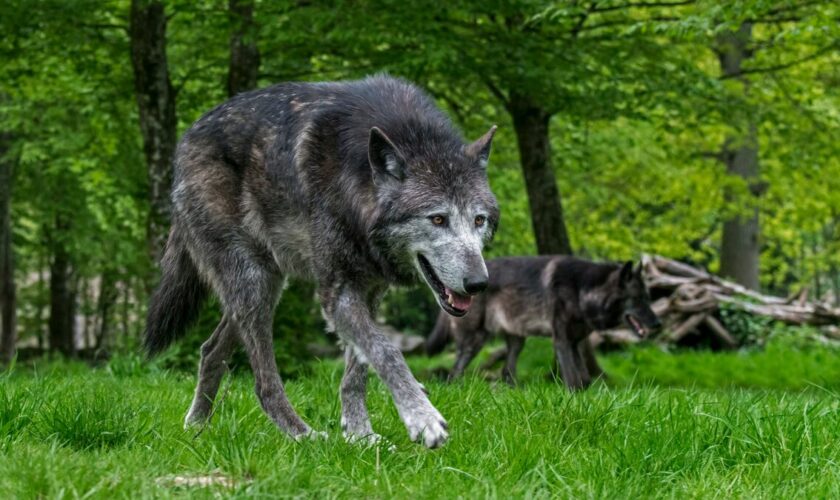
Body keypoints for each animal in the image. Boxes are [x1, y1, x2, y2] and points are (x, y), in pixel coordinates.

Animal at [144, 75, 498, 450]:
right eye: (438, 219)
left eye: (479, 220)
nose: (479, 283)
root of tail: (185, 141)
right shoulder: (337, 294)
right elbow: (386, 349)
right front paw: (422, 418)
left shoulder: (370, 291)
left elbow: (358, 371)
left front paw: (360, 435)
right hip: (254, 283)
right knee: (263, 381)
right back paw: (302, 434)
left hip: (264, 286)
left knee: (210, 350)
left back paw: (196, 427)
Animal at [430, 256, 660, 388]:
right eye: (637, 299)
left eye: (648, 298)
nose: (658, 324)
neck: (581, 291)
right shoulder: (561, 341)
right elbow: (573, 380)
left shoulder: (574, 343)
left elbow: (584, 379)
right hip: (475, 340)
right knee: (455, 371)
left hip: (516, 341)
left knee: (506, 372)